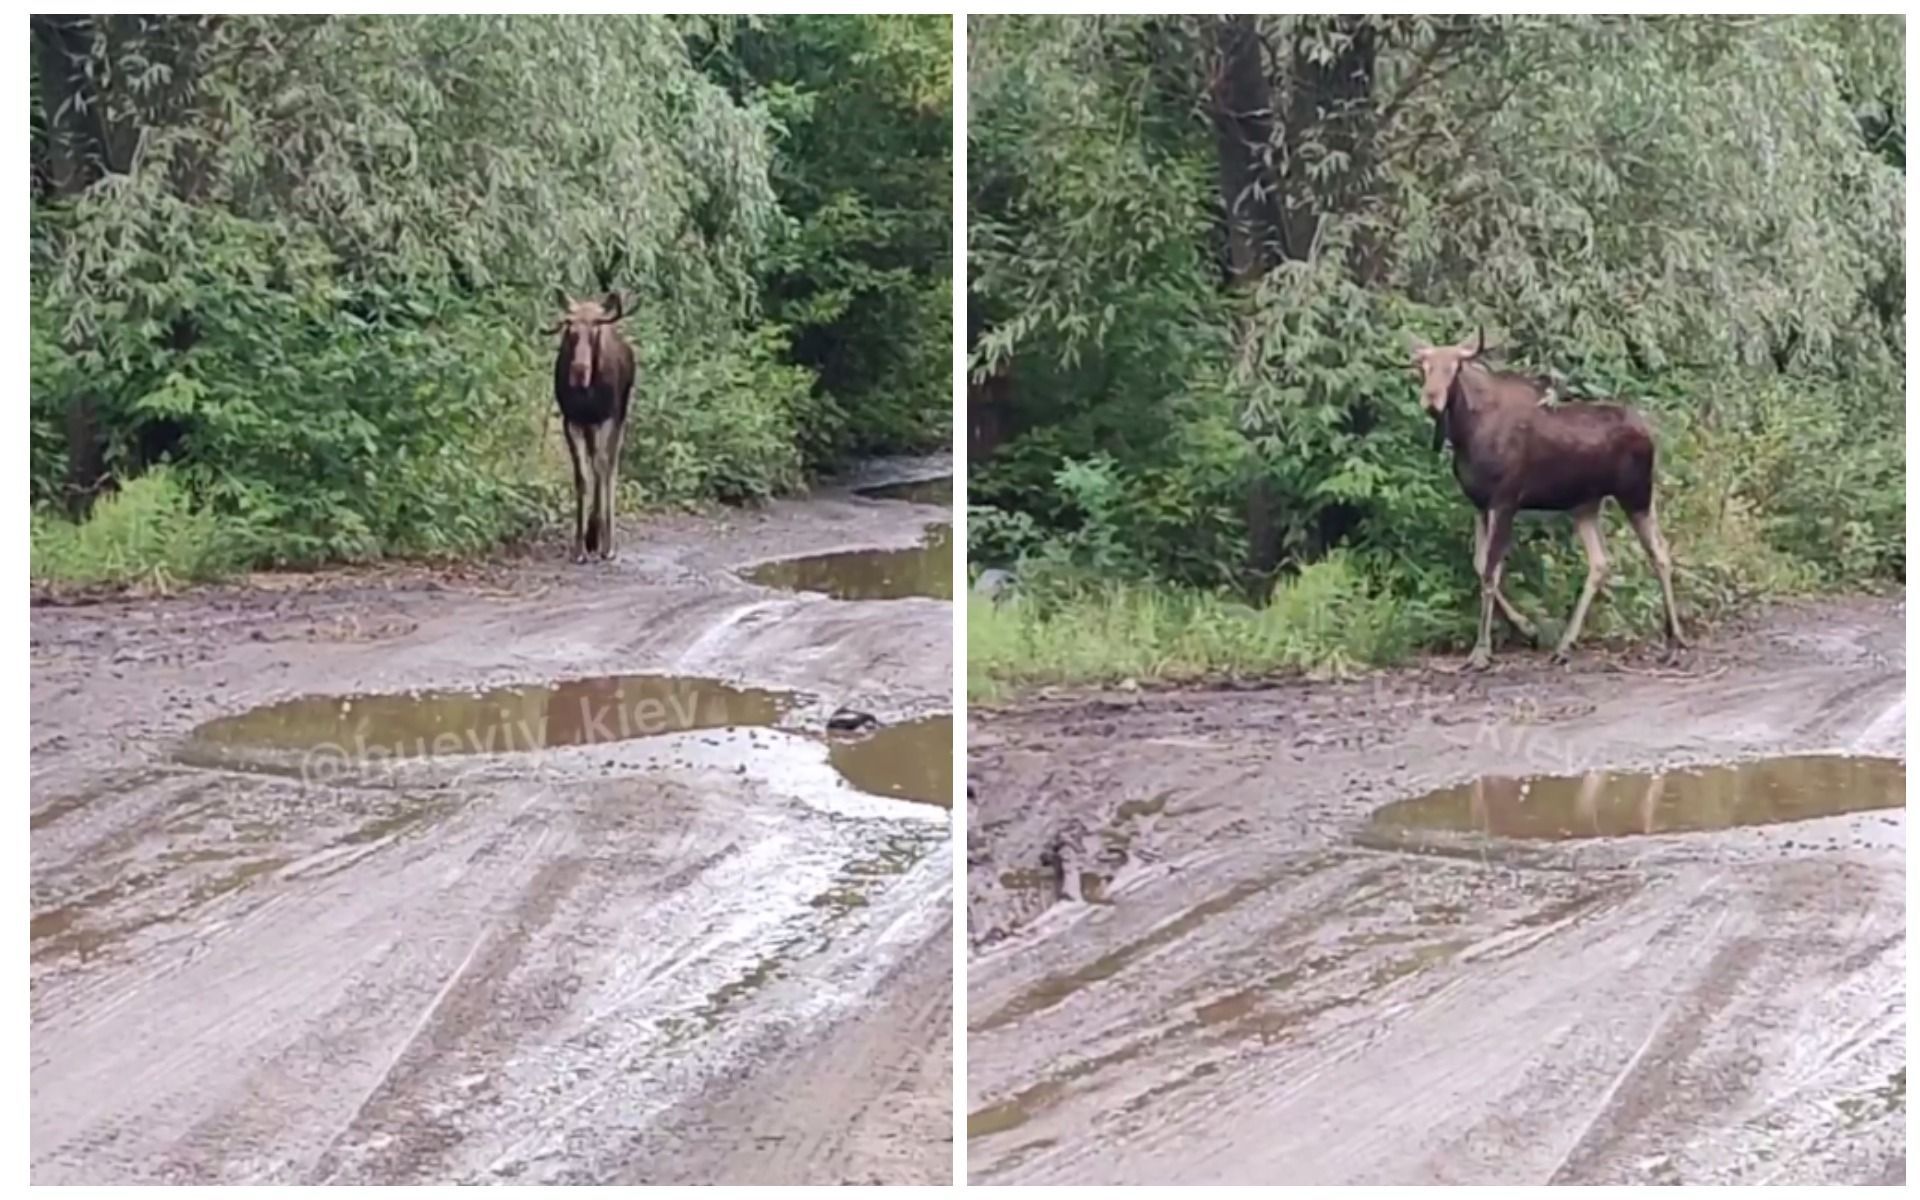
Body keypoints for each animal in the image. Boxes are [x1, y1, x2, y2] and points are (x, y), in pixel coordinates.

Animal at [545, 289, 633, 560]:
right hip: (590, 426)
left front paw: (603, 542)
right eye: (570, 329)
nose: (579, 370)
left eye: (595, 330)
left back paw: (606, 538)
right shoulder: (572, 420)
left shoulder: (606, 417)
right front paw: (580, 545)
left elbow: (602, 469)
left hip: (620, 417)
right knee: (597, 464)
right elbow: (582, 476)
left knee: (610, 466)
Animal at [1405, 324, 1689, 664]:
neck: (1466, 434)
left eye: (1454, 367)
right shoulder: (1479, 504)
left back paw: (1676, 638)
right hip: (1586, 504)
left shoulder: (1505, 501)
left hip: (1636, 494)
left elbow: (1490, 572)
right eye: (1424, 368)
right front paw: (1527, 627)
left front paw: (1482, 650)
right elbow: (1480, 564)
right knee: (1600, 562)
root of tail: (1649, 432)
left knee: (1659, 551)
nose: (1431, 400)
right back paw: (1565, 644)